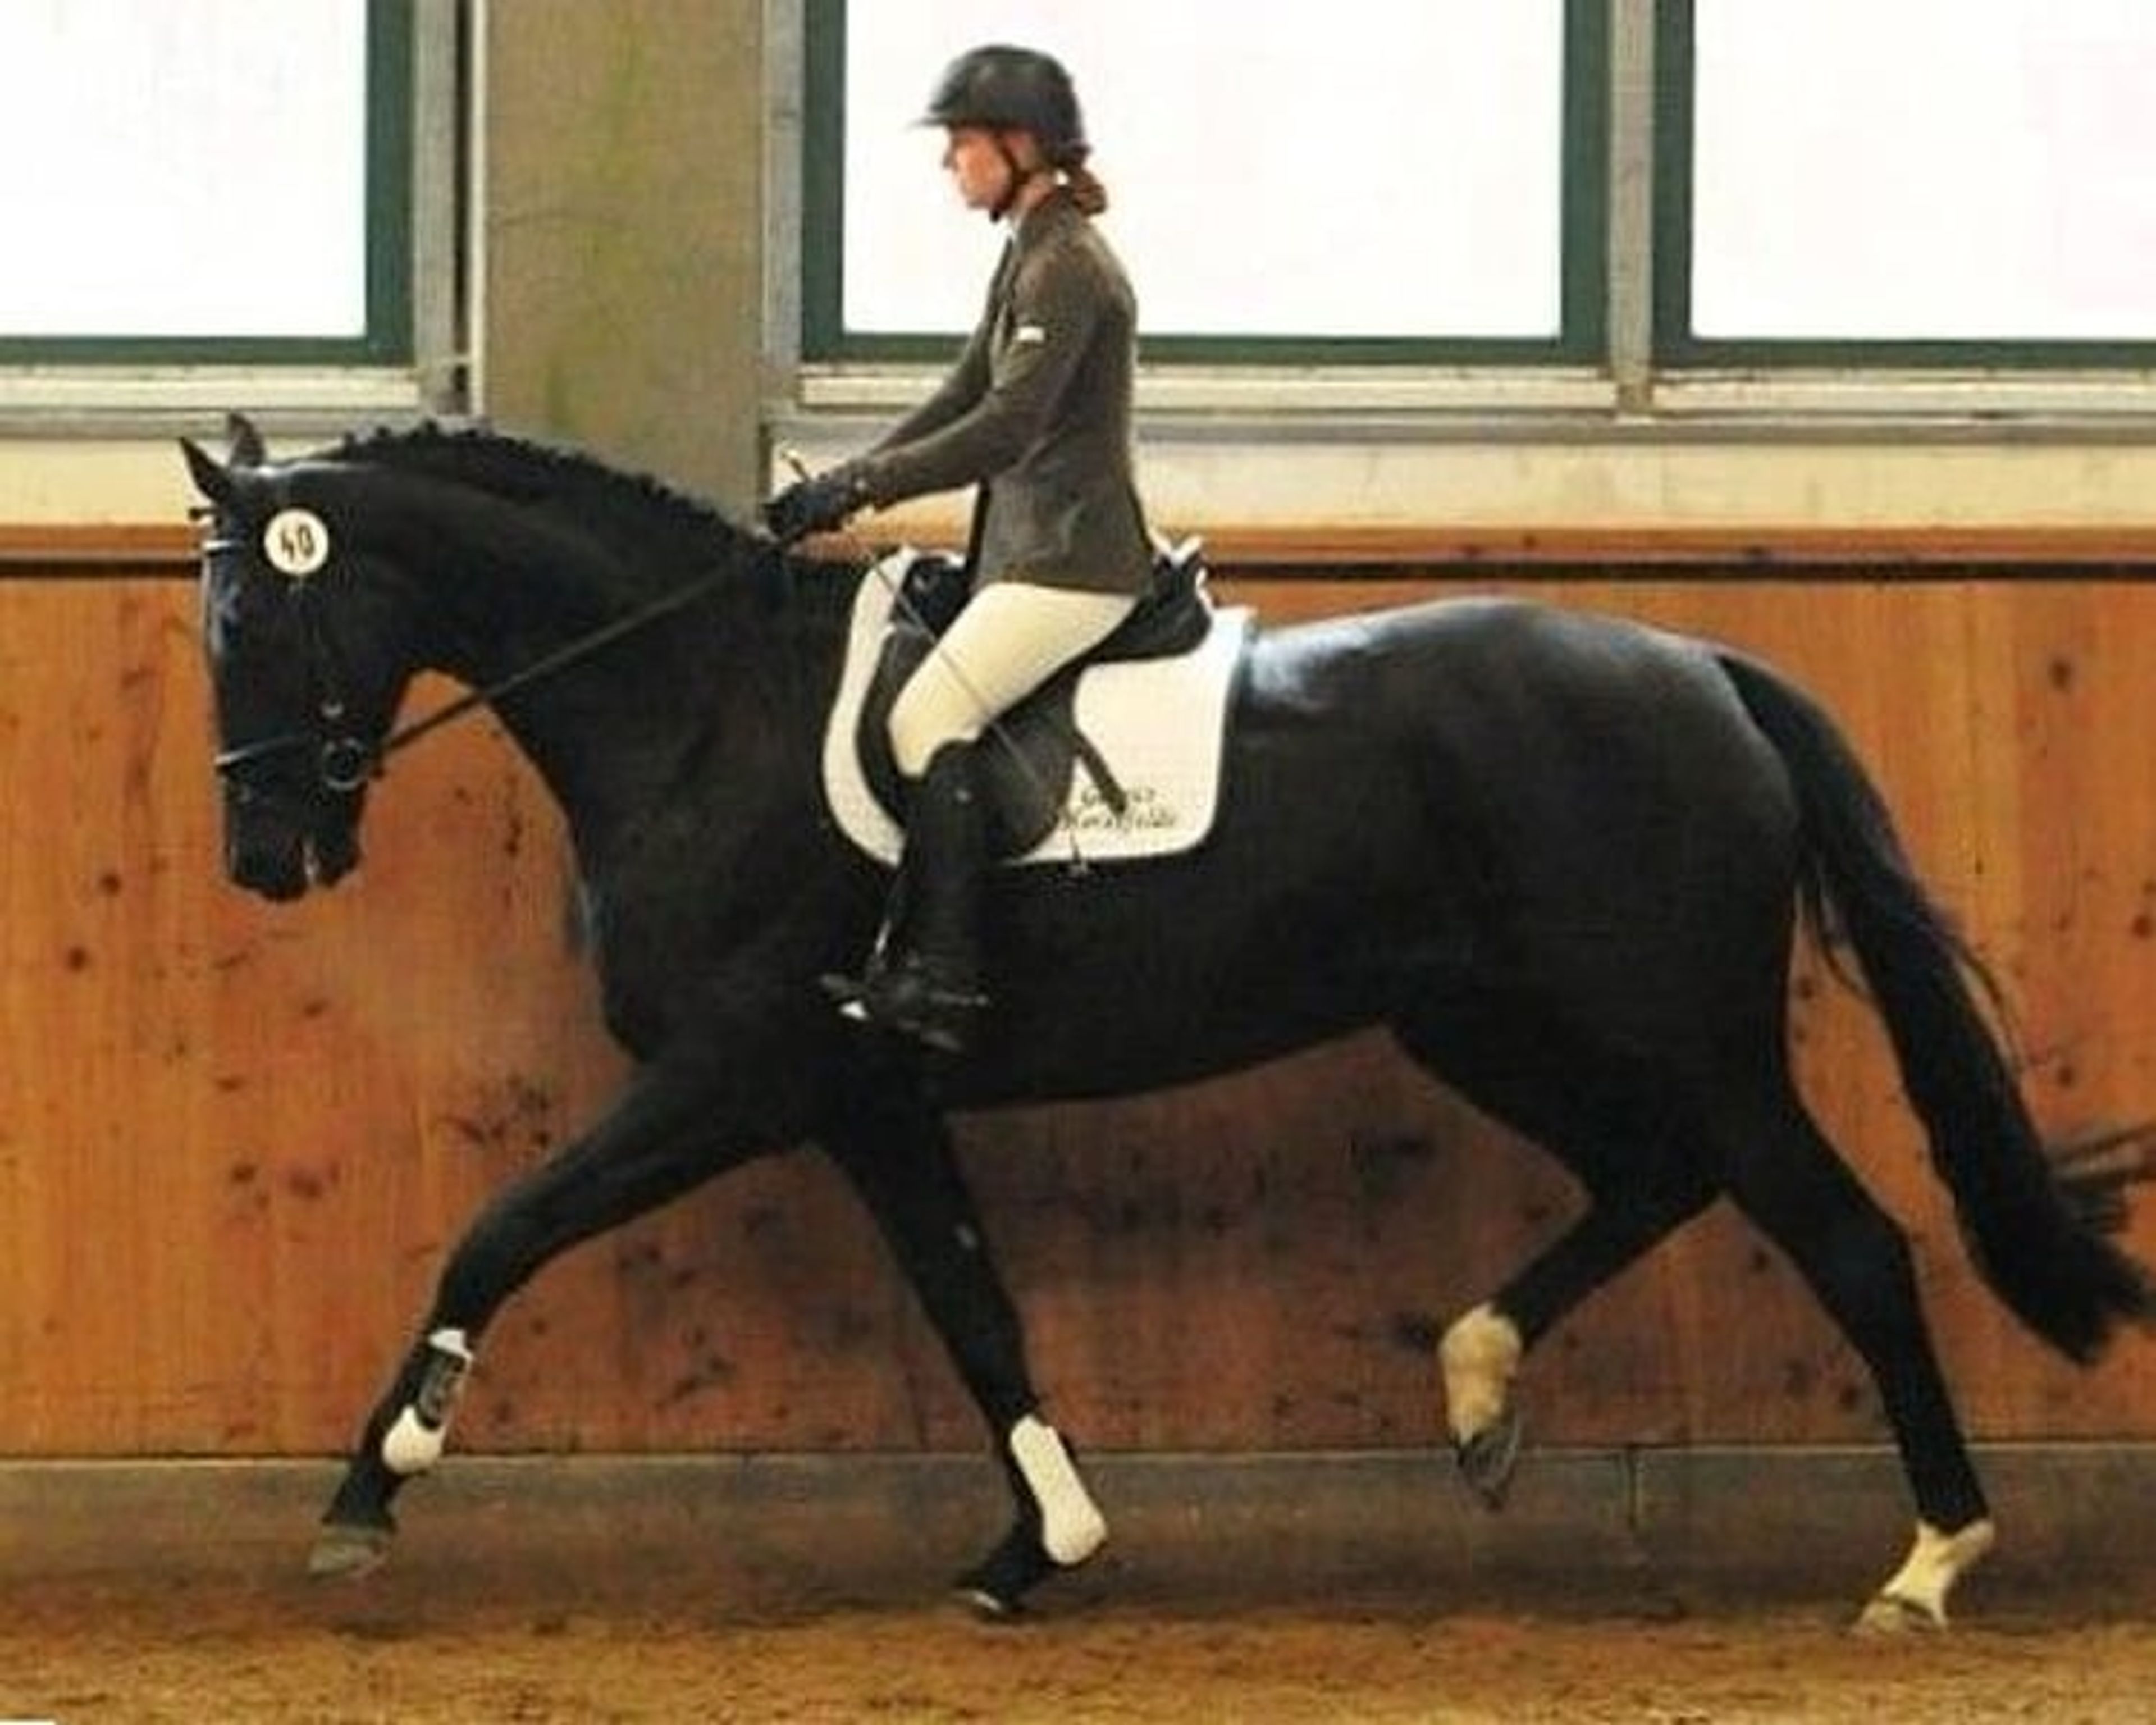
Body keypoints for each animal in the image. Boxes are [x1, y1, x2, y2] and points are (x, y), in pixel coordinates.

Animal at [181, 413, 2153, 1629]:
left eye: (252, 624)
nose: (268, 856)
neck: (701, 710)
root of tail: (1701, 667)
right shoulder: (864, 1094)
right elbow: (975, 1307)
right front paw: (1035, 1547)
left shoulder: (736, 1072)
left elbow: (500, 1228)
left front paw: (371, 1492)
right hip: (1491, 1023)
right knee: (1653, 1182)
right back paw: (1477, 1386)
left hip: (1684, 1034)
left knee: (1851, 1242)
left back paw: (1924, 1565)